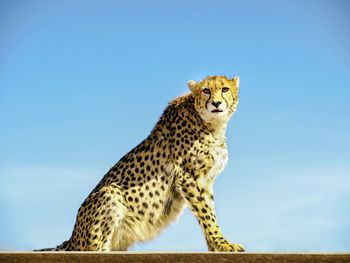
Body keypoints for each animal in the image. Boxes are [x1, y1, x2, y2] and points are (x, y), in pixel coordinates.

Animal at [38, 75, 245, 253]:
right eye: (206, 90)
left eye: (225, 89)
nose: (216, 103)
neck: (211, 125)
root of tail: (72, 237)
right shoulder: (187, 177)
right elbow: (206, 214)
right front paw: (222, 244)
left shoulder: (206, 180)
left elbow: (209, 212)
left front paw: (216, 245)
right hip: (110, 193)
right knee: (95, 247)